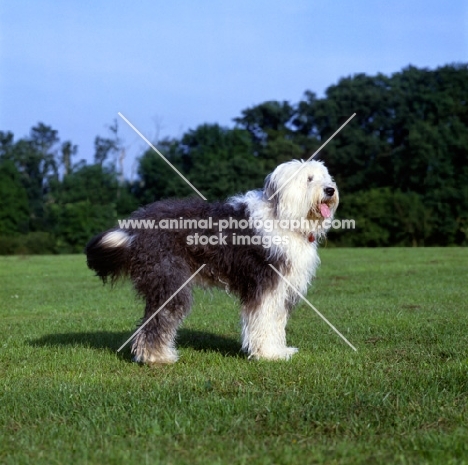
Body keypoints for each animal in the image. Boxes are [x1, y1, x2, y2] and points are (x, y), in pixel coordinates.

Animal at [86, 160, 338, 362]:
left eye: (325, 176)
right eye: (309, 178)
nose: (330, 190)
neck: (283, 216)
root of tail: (136, 228)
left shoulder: (282, 288)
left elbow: (276, 321)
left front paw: (279, 351)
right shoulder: (266, 284)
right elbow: (264, 320)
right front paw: (267, 354)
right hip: (168, 279)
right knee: (159, 319)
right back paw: (157, 358)